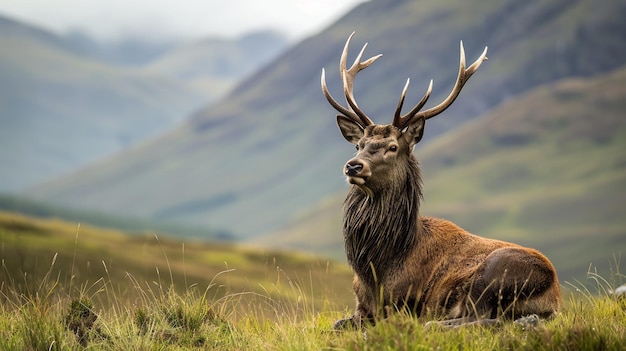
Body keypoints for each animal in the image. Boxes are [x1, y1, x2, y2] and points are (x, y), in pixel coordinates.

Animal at [320, 33, 560, 330]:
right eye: (358, 145)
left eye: (392, 147)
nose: (353, 165)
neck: (377, 269)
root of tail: (555, 297)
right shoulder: (360, 307)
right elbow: (336, 323)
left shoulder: (402, 304)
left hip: (493, 273)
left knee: (484, 318)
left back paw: (434, 324)